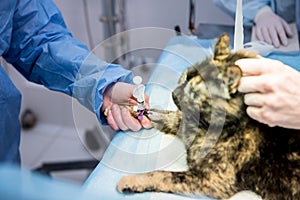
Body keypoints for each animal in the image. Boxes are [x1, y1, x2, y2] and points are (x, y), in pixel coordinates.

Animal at [117, 33, 300, 199]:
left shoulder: (212, 179)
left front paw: (130, 181)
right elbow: (165, 115)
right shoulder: (185, 123)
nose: (174, 93)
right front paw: (132, 109)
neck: (202, 127)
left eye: (194, 93)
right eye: (184, 77)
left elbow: (163, 174)